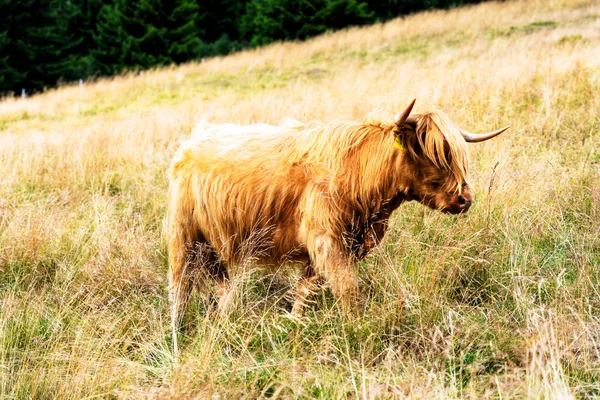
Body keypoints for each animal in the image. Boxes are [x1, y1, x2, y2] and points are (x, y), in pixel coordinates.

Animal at [166, 100, 508, 354]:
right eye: (433, 155)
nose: (465, 199)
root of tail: (193, 140)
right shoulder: (326, 239)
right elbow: (347, 288)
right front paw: (356, 328)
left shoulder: (338, 243)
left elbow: (306, 289)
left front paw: (295, 322)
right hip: (184, 235)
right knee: (180, 286)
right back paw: (177, 332)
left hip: (211, 245)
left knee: (222, 286)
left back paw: (228, 318)